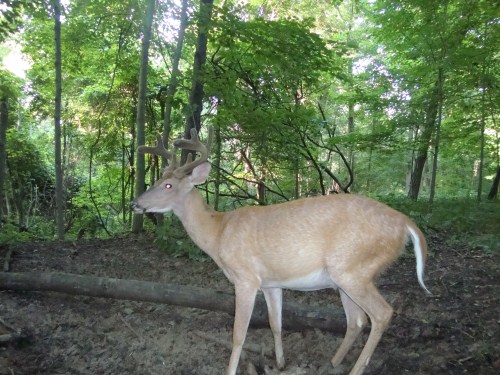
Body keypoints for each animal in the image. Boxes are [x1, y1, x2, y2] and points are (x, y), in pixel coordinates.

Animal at [132, 128, 430, 374]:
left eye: (168, 185)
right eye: (158, 180)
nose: (135, 204)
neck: (218, 233)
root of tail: (406, 223)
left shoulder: (245, 278)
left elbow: (238, 334)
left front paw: (231, 370)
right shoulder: (271, 283)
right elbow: (276, 323)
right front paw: (280, 363)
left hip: (353, 268)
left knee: (381, 313)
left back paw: (354, 369)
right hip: (347, 276)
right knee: (357, 320)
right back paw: (334, 362)